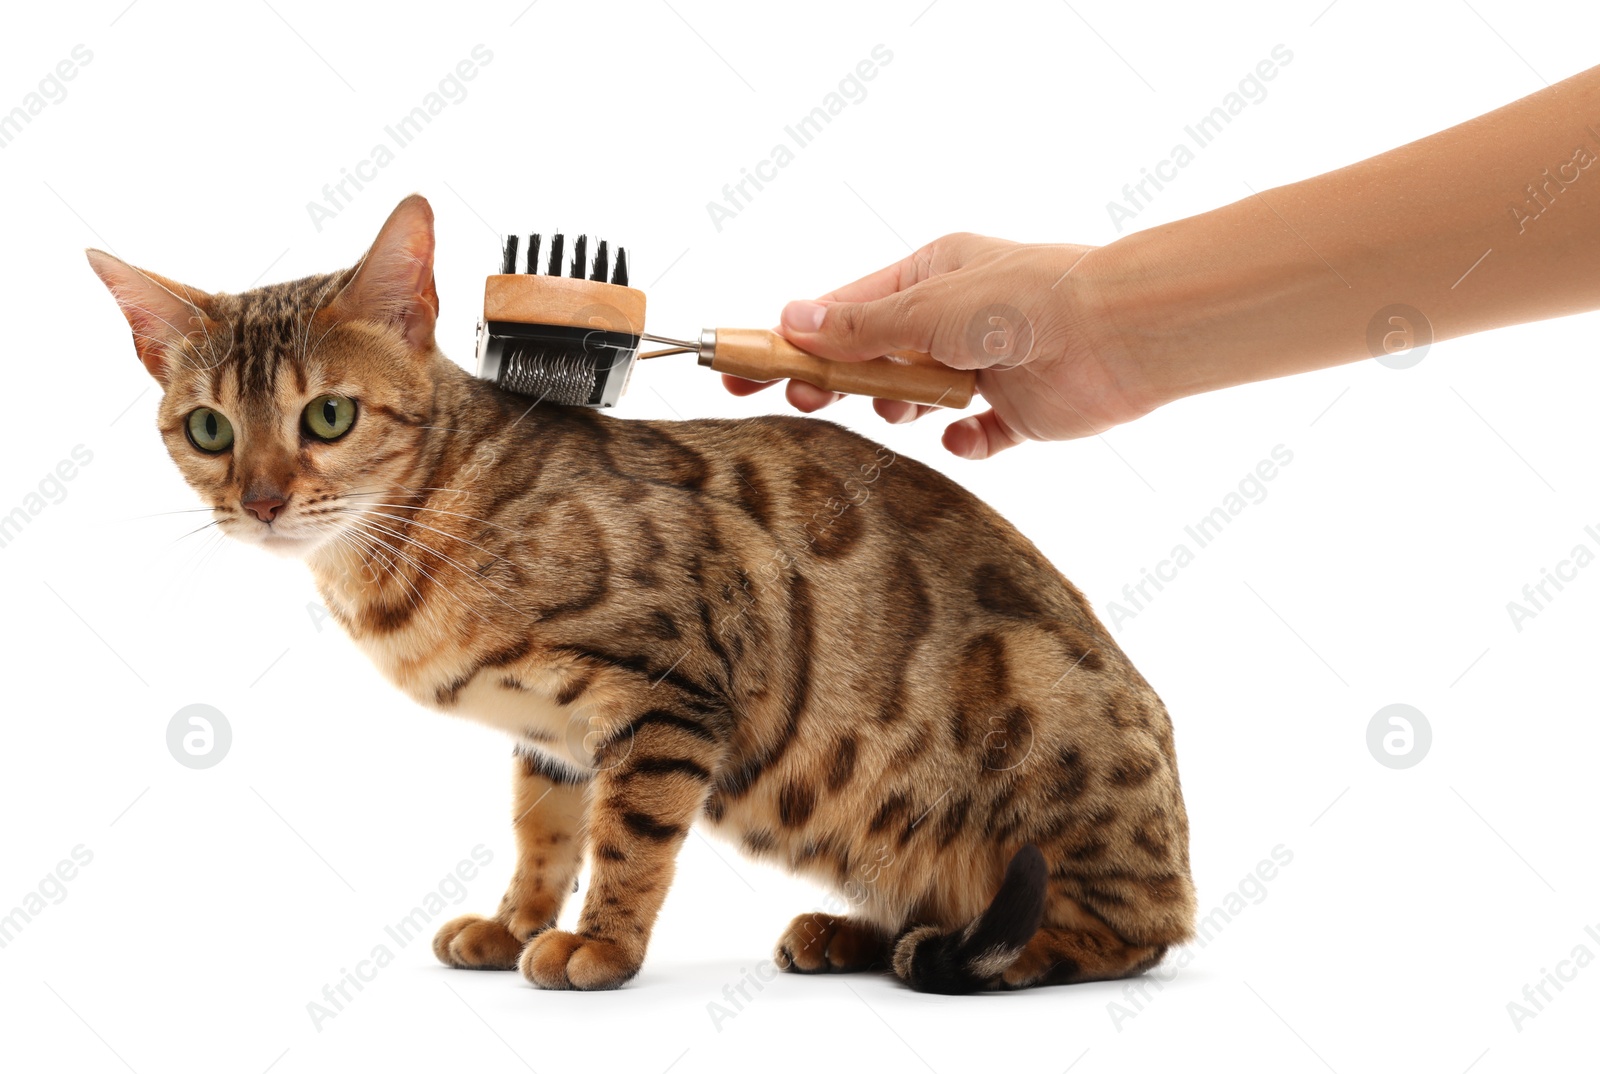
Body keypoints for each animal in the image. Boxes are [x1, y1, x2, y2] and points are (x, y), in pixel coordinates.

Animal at [84, 195, 1190, 992]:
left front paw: (600, 946)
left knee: (1131, 934)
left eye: (327, 415)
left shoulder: (667, 693)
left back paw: (990, 952)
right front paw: (515, 923)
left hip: (1043, 758)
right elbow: (544, 834)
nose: (263, 500)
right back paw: (850, 934)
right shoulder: (552, 735)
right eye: (210, 430)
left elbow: (631, 842)